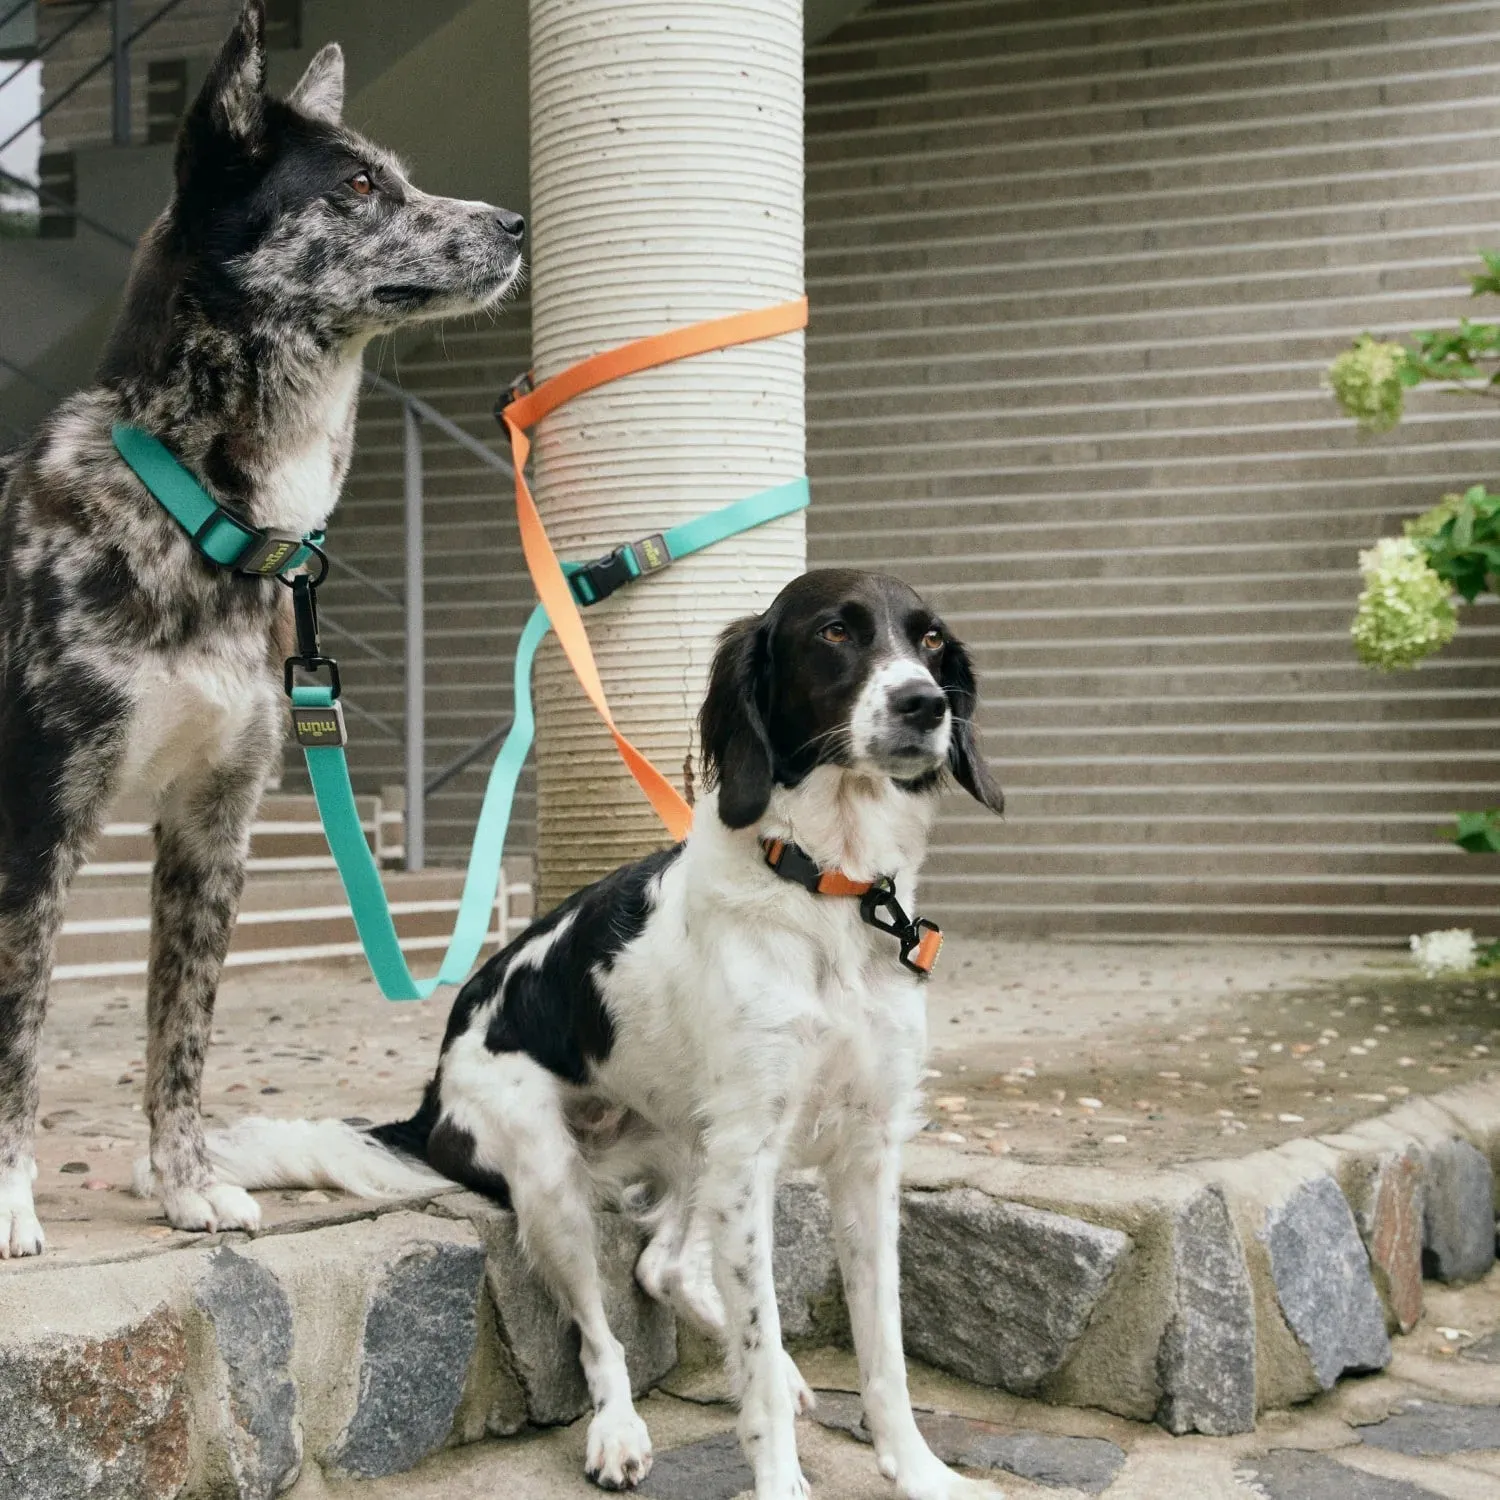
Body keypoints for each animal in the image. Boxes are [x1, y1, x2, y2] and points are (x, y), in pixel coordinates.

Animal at [0, 0, 528, 1260]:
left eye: (399, 174)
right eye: (355, 186)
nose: (516, 225)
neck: (199, 510)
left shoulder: (213, 825)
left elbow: (180, 1038)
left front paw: (188, 1185)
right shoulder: (40, 820)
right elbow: (18, 1036)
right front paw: (7, 1201)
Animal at [196, 573, 1008, 1500]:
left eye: (932, 641)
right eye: (835, 632)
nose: (924, 703)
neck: (828, 891)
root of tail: (432, 1091)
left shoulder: (866, 1154)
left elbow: (884, 1351)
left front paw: (922, 1473)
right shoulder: (751, 1151)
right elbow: (753, 1346)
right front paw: (778, 1474)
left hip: (691, 1147)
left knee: (663, 1266)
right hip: (556, 1181)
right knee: (600, 1332)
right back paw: (619, 1431)